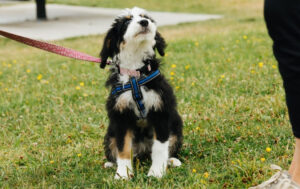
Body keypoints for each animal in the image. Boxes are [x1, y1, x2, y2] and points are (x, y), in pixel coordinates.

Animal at [99, 7, 183, 179]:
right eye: (126, 22)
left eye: (146, 17)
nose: (144, 22)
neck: (135, 75)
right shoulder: (120, 115)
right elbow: (123, 147)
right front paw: (123, 174)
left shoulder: (161, 111)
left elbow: (160, 147)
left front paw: (156, 172)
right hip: (110, 132)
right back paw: (111, 163)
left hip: (176, 124)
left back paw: (172, 160)